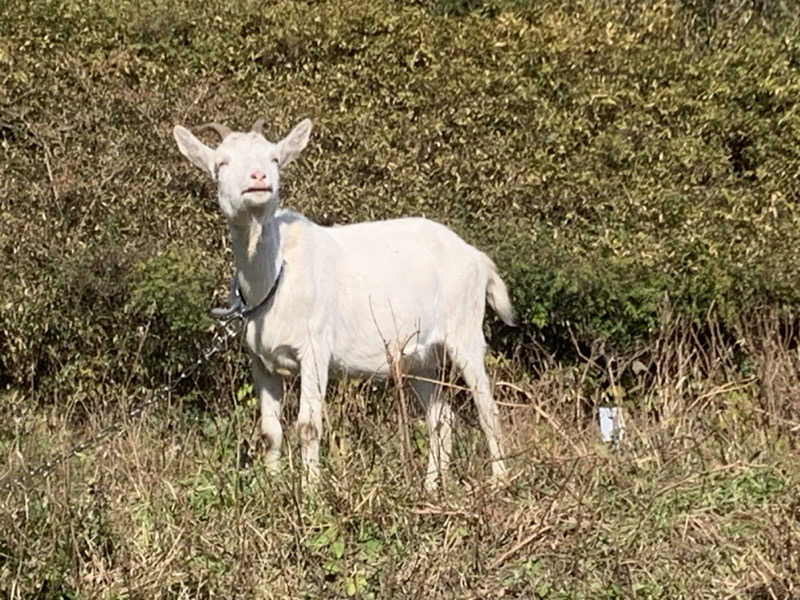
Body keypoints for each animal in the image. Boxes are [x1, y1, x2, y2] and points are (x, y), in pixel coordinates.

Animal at [172, 118, 516, 492]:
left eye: (275, 158)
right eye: (221, 162)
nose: (259, 178)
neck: (275, 273)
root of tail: (477, 258)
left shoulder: (314, 349)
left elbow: (309, 426)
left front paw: (310, 493)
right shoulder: (260, 361)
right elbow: (269, 432)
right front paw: (273, 488)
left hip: (464, 329)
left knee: (486, 407)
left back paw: (500, 480)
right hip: (421, 356)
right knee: (440, 417)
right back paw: (430, 488)